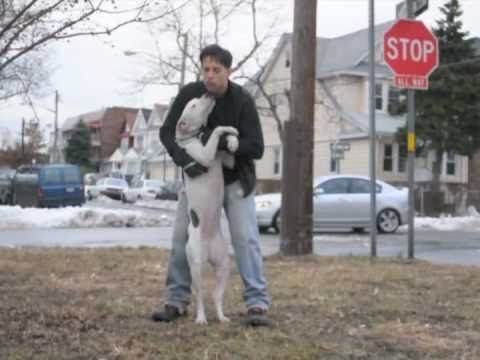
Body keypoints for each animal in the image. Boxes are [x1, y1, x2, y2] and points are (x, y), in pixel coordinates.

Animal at [175, 93, 239, 324]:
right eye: (193, 104)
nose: (207, 93)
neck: (195, 136)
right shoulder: (202, 156)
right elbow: (217, 130)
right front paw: (224, 131)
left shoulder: (227, 161)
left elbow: (229, 148)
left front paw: (233, 138)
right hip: (196, 266)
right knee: (200, 295)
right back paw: (201, 318)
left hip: (224, 265)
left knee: (216, 295)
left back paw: (221, 317)